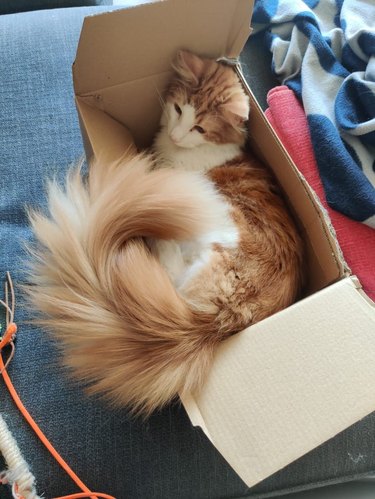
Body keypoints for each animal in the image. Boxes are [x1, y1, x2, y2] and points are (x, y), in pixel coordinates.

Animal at [28, 50, 306, 418]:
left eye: (200, 127)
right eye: (178, 109)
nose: (175, 135)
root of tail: (221, 318)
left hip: (209, 220)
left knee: (172, 268)